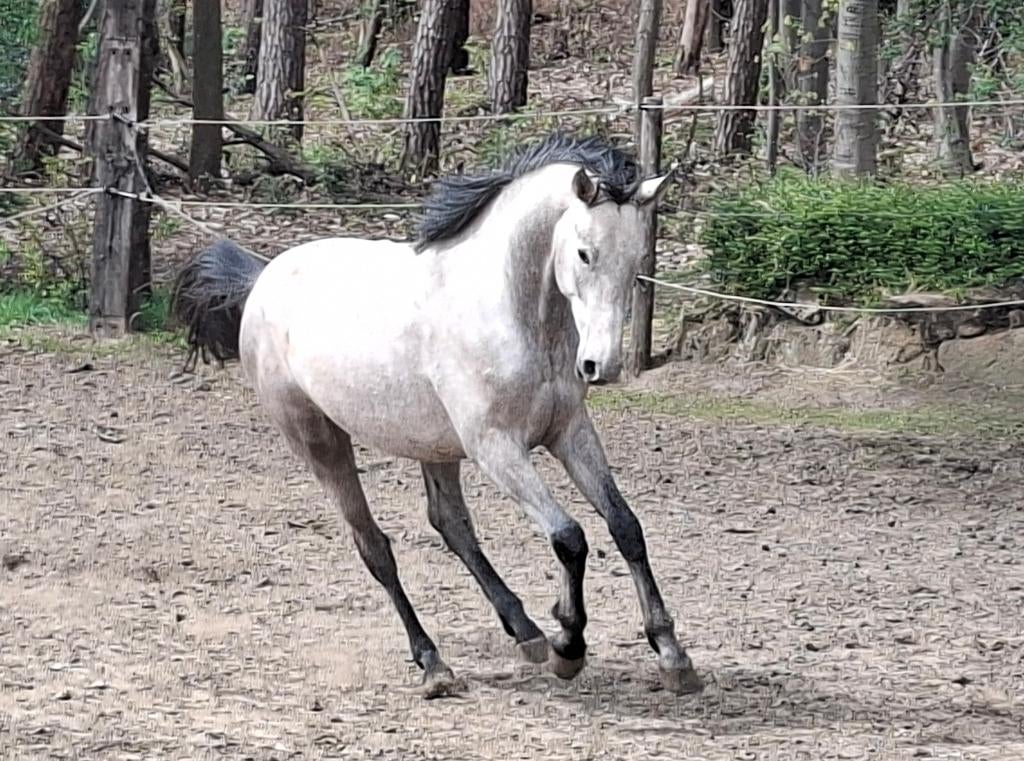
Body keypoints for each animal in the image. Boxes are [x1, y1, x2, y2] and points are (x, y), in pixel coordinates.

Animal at [171, 131, 702, 698]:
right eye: (584, 253)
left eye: (636, 259)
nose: (601, 365)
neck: (511, 311)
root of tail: (262, 278)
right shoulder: (496, 447)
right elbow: (569, 537)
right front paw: (569, 645)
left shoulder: (568, 431)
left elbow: (625, 525)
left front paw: (672, 654)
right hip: (318, 440)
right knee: (375, 546)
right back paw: (435, 663)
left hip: (434, 445)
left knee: (451, 525)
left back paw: (525, 631)